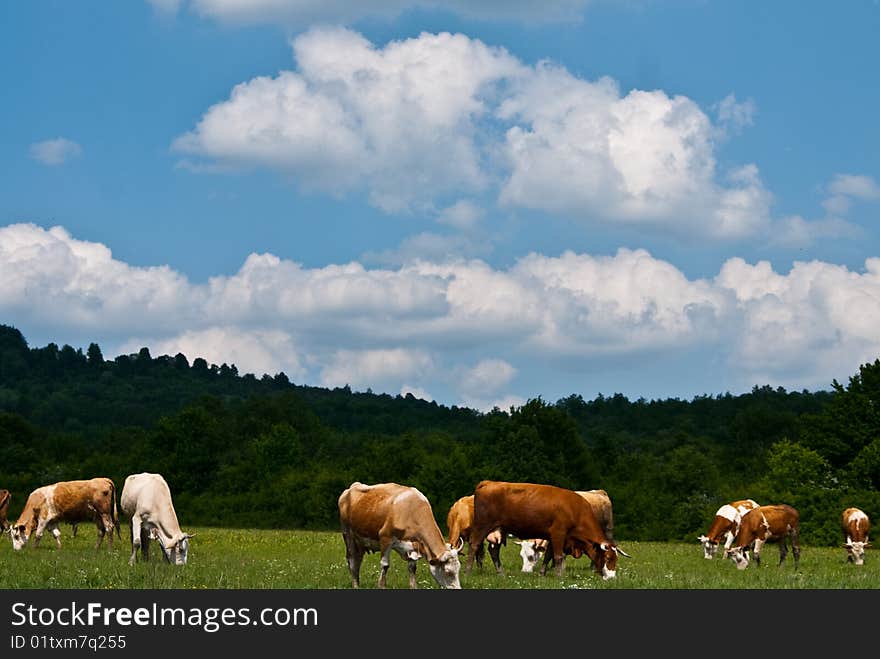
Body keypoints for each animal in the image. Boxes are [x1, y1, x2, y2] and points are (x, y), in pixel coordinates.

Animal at [336, 482, 464, 592]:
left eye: (458, 569)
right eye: (448, 572)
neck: (411, 510)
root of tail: (350, 488)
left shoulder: (412, 547)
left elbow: (412, 568)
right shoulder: (385, 538)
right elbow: (385, 565)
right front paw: (382, 586)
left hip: (360, 541)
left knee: (358, 559)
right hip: (348, 534)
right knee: (352, 560)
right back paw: (355, 585)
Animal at [464, 480, 628, 584]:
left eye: (616, 559)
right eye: (608, 558)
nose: (612, 578)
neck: (576, 510)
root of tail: (488, 482)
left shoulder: (554, 537)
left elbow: (549, 555)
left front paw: (542, 574)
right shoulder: (558, 533)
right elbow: (558, 556)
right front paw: (559, 576)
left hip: (500, 530)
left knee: (494, 551)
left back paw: (501, 573)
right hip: (482, 526)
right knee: (474, 545)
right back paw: (467, 571)